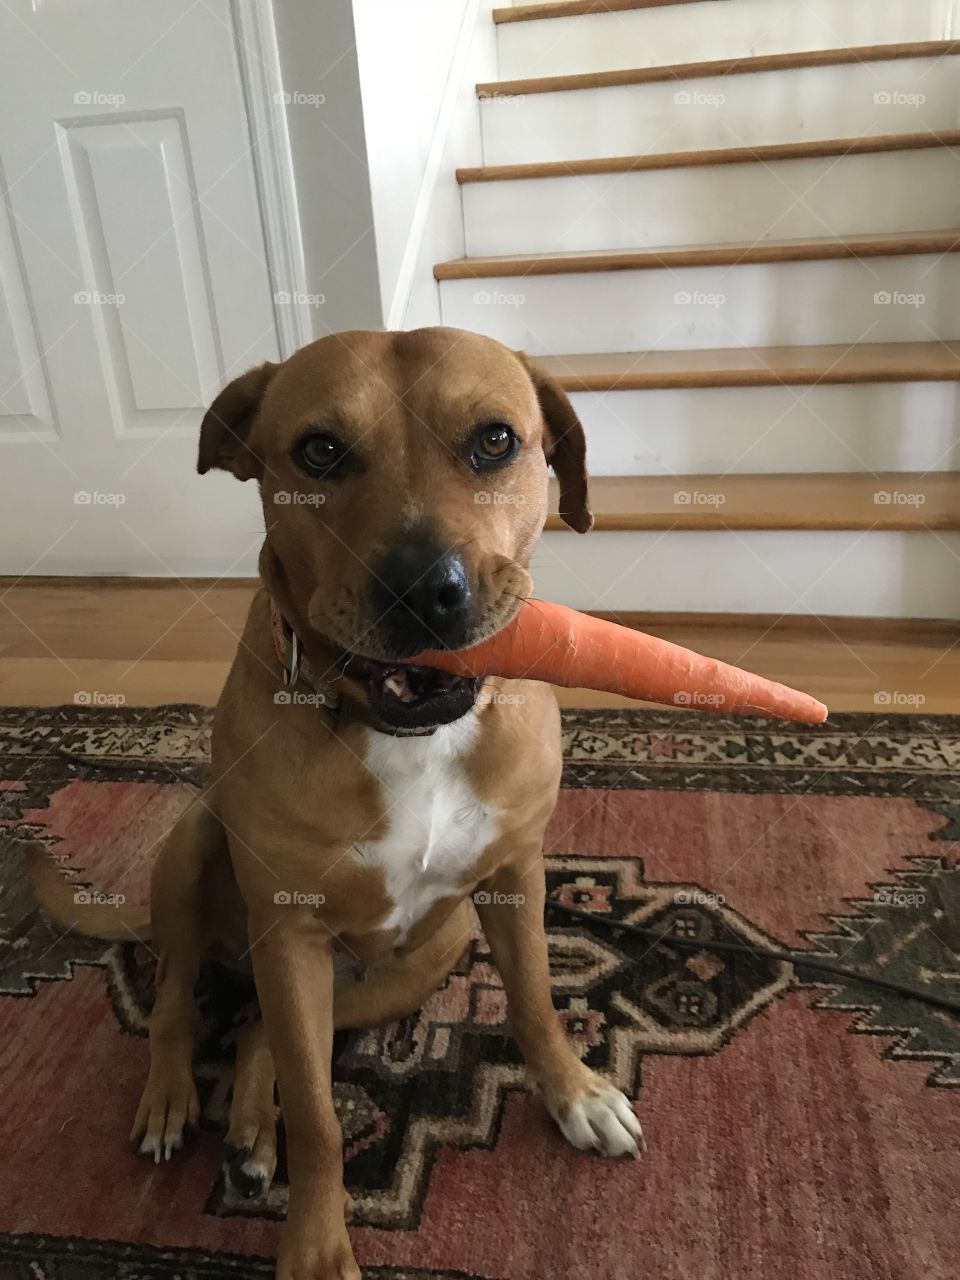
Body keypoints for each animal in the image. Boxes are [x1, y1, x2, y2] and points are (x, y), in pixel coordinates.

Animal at [39, 327, 647, 1280]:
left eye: (496, 440)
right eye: (319, 451)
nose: (424, 589)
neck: (405, 731)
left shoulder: (515, 875)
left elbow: (536, 1000)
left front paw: (573, 1089)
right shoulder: (289, 933)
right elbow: (322, 1120)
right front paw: (318, 1248)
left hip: (412, 965)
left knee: (259, 1031)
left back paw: (251, 1126)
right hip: (197, 851)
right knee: (180, 1001)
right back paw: (176, 1095)